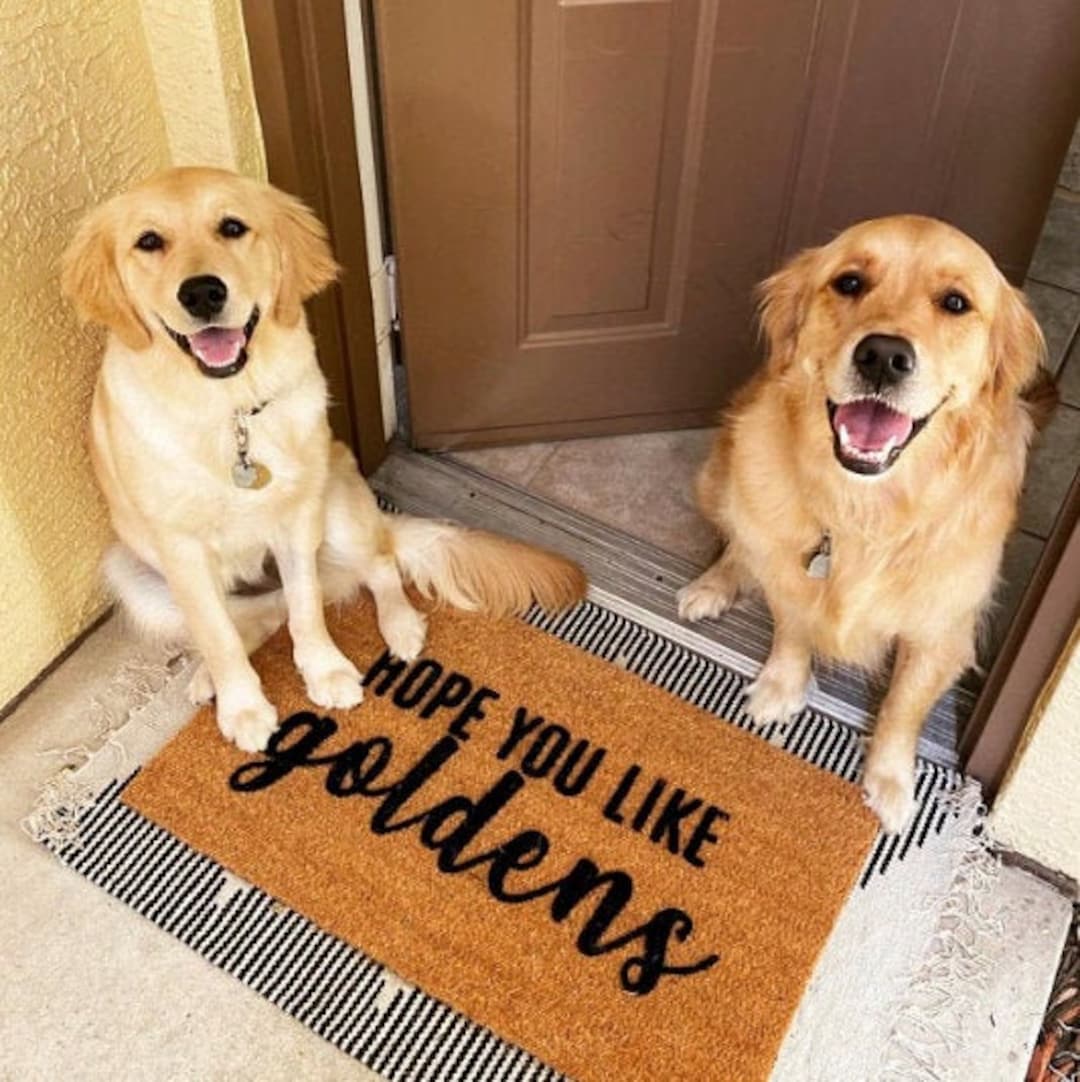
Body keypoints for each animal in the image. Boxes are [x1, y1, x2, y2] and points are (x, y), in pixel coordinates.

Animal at [61, 166, 584, 753]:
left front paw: (324, 670)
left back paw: (401, 626)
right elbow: (219, 636)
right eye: (149, 241)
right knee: (253, 618)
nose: (201, 292)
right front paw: (243, 705)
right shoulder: (182, 550)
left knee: (375, 567)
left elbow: (308, 609)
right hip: (133, 570)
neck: (229, 409)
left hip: (337, 506)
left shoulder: (297, 519)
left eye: (232, 227)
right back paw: (209, 677)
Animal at [675, 215, 1056, 830]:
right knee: (739, 538)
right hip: (721, 471)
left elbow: (904, 707)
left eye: (955, 302)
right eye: (849, 283)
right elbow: (792, 630)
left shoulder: (942, 630)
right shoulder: (789, 576)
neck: (865, 510)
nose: (883, 355)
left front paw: (891, 781)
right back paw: (714, 583)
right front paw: (780, 688)